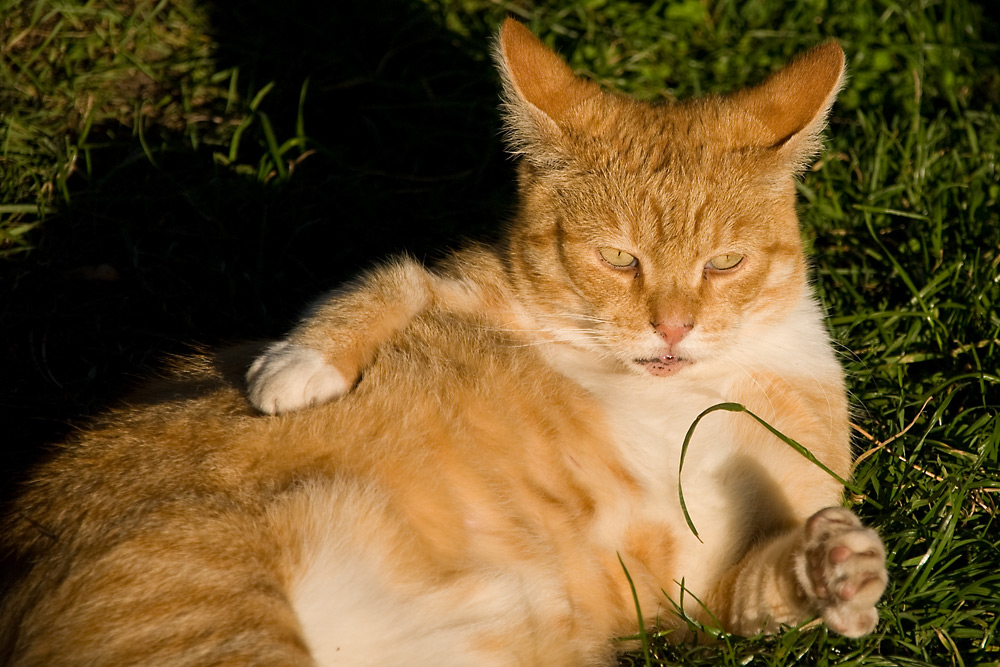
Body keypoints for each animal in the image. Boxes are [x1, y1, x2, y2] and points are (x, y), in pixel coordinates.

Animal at [1, 18, 892, 664]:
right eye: (618, 258)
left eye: (724, 263)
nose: (672, 325)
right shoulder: (467, 288)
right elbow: (386, 278)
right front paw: (298, 365)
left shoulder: (699, 585)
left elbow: (764, 590)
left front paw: (838, 572)